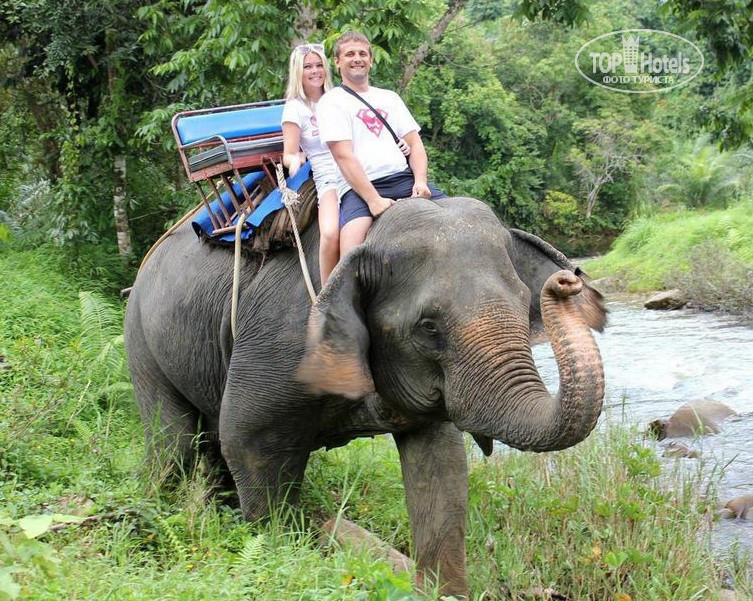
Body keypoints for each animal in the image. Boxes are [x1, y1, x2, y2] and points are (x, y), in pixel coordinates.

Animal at [123, 193, 604, 596]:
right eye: (428, 326)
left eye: (524, 302)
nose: (568, 281)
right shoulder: (278, 342)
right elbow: (248, 444)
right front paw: (284, 550)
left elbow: (440, 469)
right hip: (141, 337)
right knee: (176, 442)